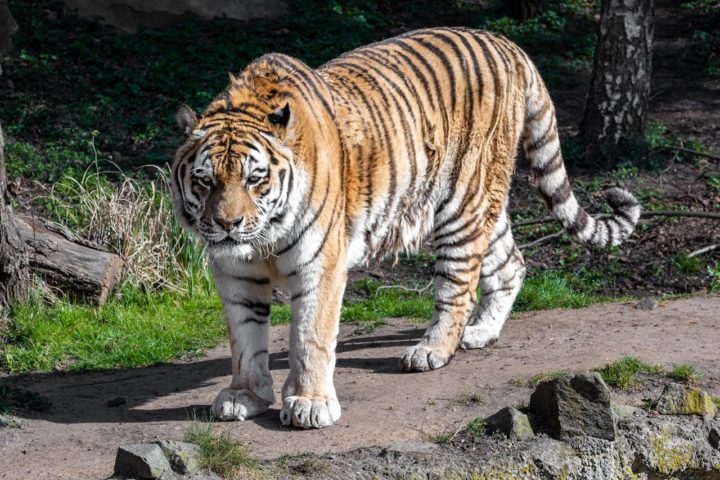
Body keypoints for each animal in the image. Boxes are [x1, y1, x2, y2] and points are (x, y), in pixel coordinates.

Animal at [171, 27, 640, 429]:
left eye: (255, 179)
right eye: (206, 181)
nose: (228, 224)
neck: (261, 241)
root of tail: (506, 43)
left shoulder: (320, 265)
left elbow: (310, 336)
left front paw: (310, 403)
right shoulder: (236, 274)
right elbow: (244, 339)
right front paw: (244, 396)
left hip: (461, 203)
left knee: (458, 287)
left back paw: (432, 349)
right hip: (481, 203)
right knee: (512, 264)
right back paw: (481, 333)